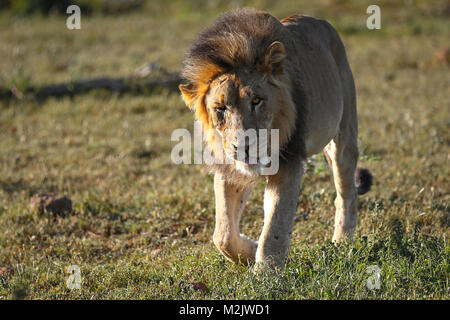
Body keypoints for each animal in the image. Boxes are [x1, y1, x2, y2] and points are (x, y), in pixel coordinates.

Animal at [178, 8, 372, 270]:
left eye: (257, 100)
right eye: (220, 108)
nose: (244, 146)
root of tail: (320, 21)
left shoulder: (289, 162)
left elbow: (274, 228)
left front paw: (265, 273)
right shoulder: (230, 169)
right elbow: (223, 235)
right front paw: (251, 252)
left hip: (344, 135)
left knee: (346, 194)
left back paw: (342, 243)